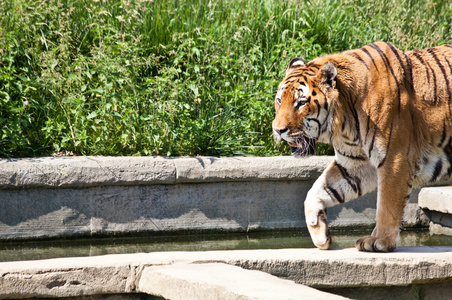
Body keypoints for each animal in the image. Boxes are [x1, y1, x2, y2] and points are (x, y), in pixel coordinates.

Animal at [272, 42, 452, 252]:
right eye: (279, 100)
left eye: (300, 103)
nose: (277, 130)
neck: (344, 124)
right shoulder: (356, 164)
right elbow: (317, 190)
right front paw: (320, 233)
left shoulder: (395, 159)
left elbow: (387, 204)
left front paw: (380, 241)